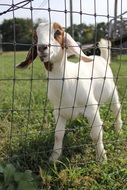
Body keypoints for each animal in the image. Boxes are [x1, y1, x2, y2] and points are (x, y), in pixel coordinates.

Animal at [17, 22, 122, 162]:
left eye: (57, 32)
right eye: (35, 36)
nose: (42, 47)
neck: (66, 79)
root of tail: (102, 58)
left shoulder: (91, 108)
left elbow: (96, 134)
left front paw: (101, 158)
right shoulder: (58, 112)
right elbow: (58, 135)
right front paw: (54, 158)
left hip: (112, 92)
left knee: (117, 108)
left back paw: (118, 130)